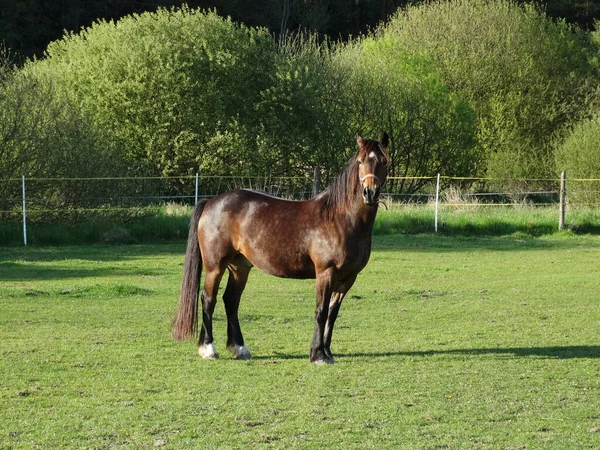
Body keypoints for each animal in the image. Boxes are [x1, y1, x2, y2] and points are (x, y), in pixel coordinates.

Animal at [172, 134, 390, 366]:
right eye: (360, 161)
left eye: (384, 161)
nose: (370, 193)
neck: (341, 218)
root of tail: (211, 201)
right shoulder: (326, 272)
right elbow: (321, 311)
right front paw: (318, 355)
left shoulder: (347, 278)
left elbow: (332, 314)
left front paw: (327, 352)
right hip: (215, 266)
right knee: (208, 299)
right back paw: (208, 349)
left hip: (239, 267)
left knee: (231, 301)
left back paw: (239, 348)